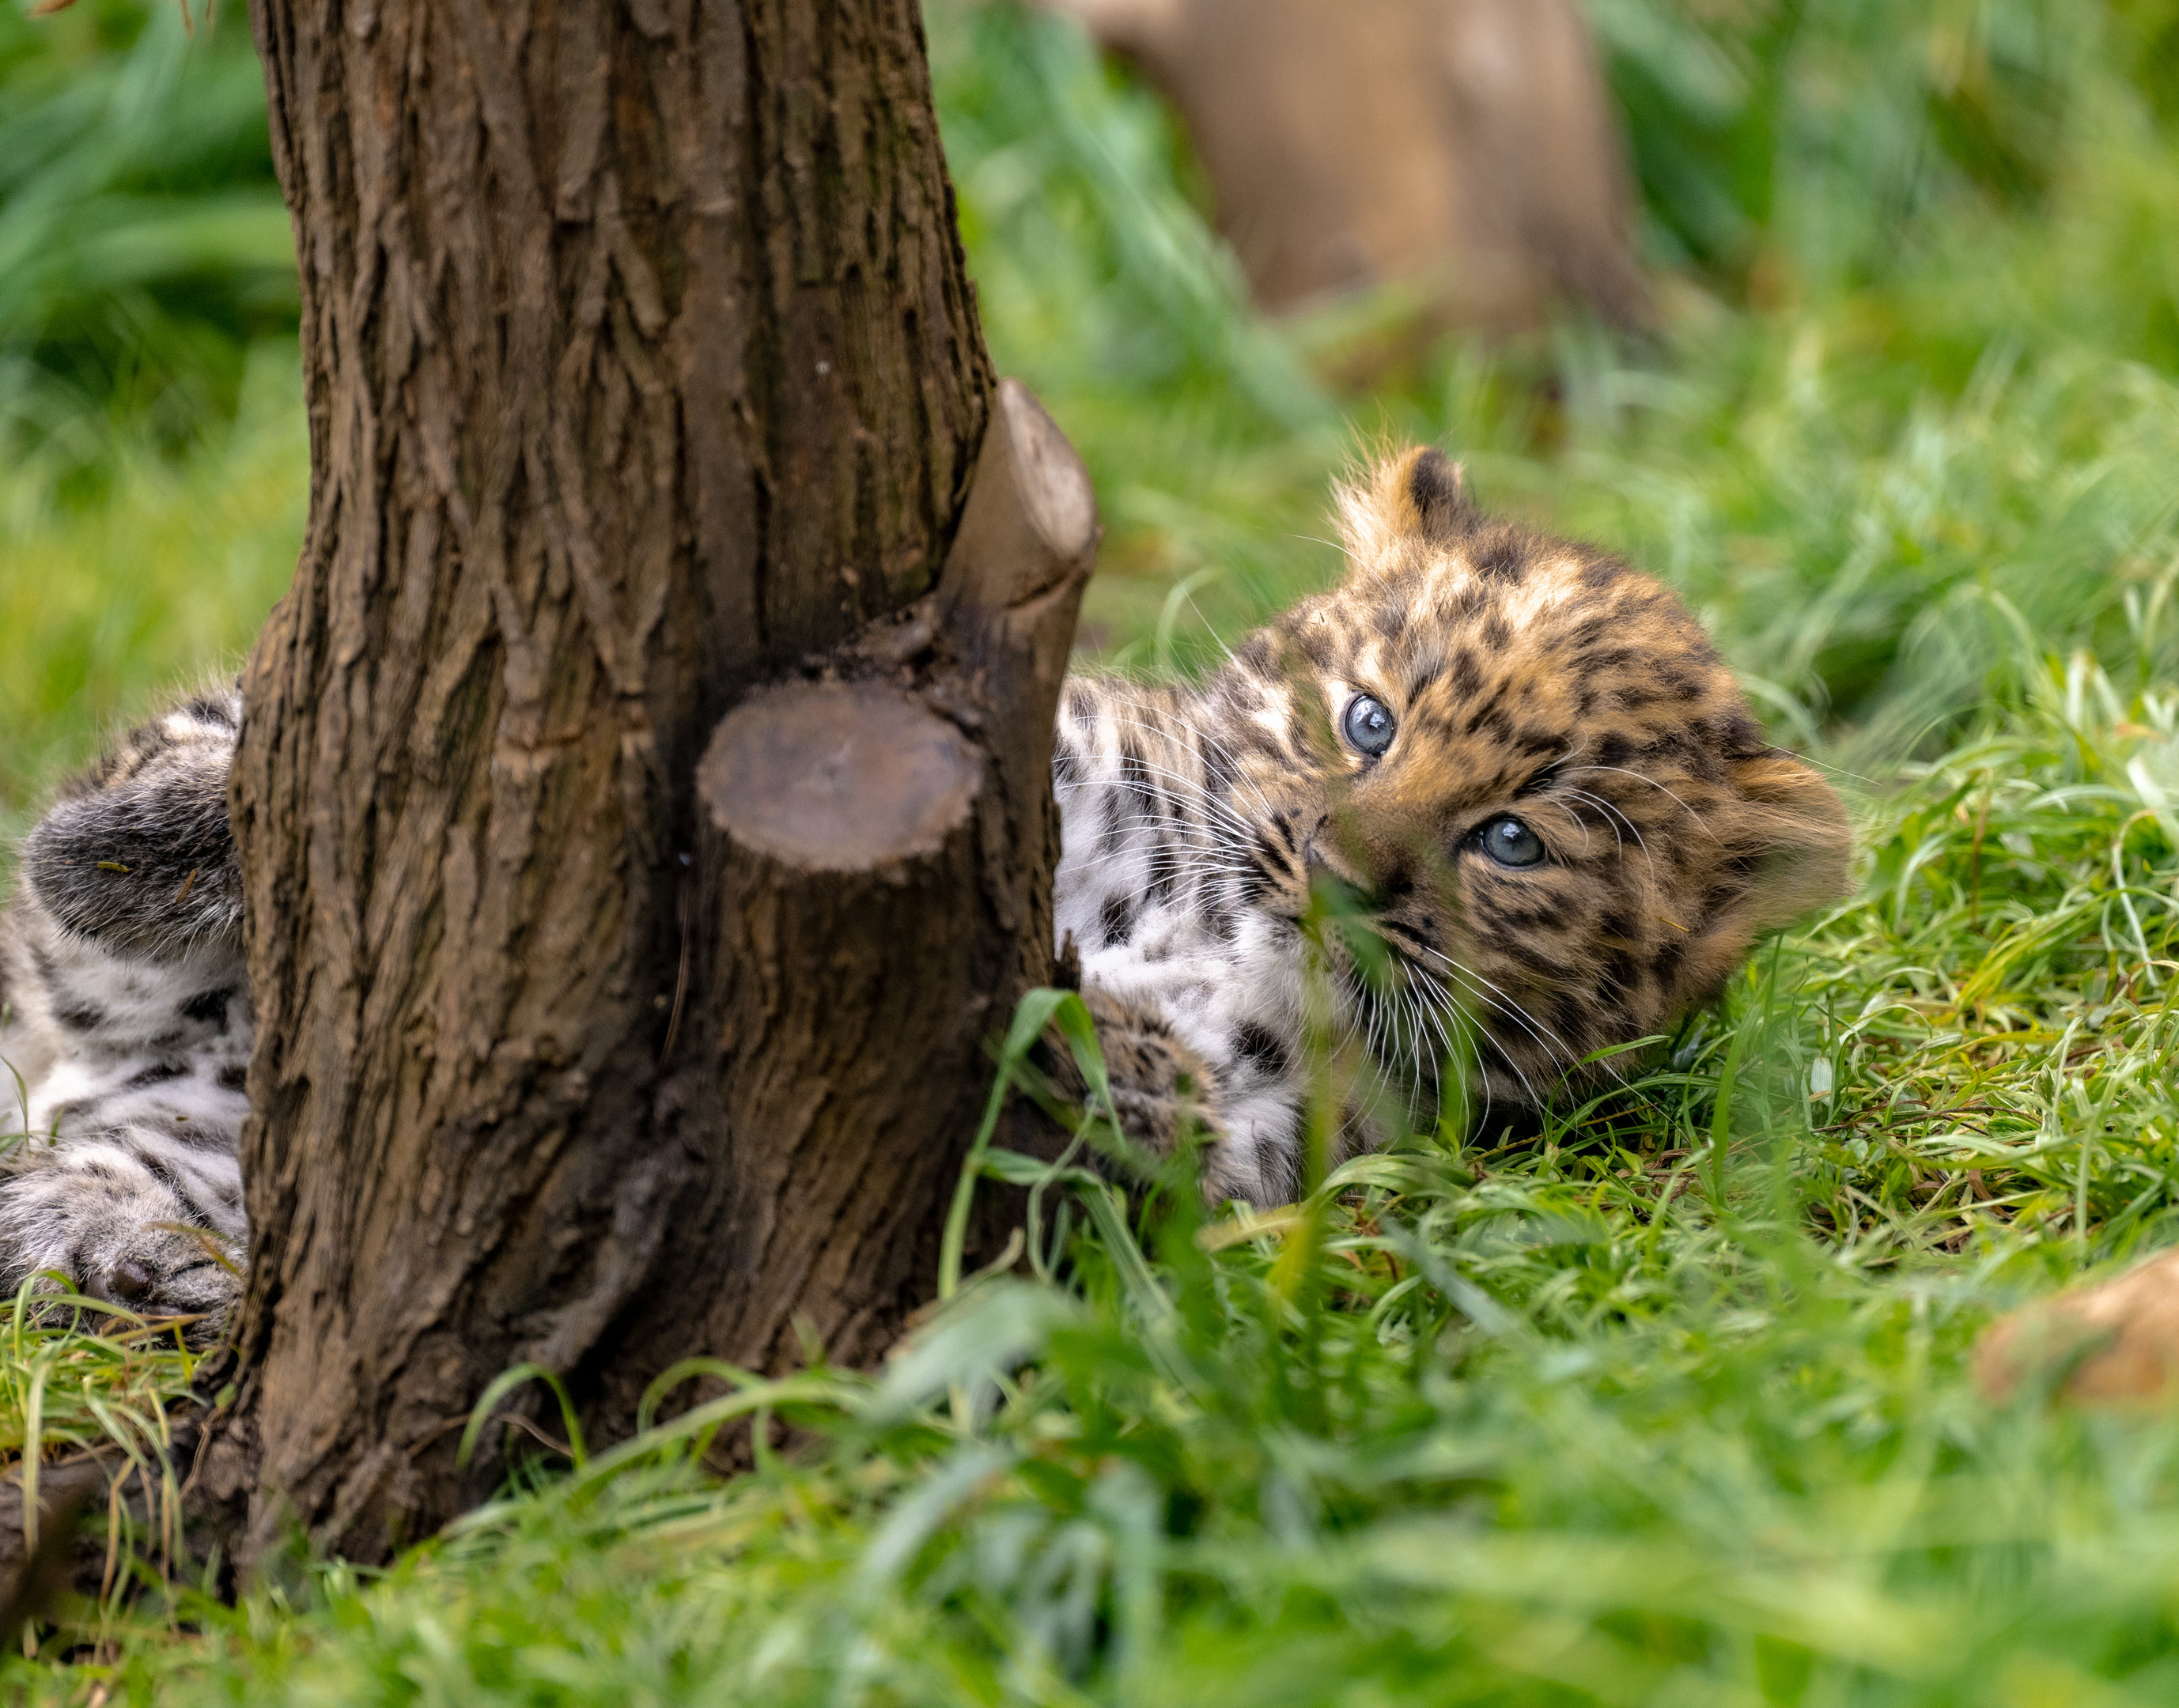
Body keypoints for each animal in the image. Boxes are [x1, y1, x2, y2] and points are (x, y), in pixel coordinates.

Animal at [0, 446, 1849, 1324]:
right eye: (1369, 718)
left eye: (1513, 841)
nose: (1340, 866)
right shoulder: (1040, 753)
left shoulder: (1309, 1140)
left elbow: (1187, 1105)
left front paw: (1089, 1021)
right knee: (123, 830)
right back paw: (147, 845)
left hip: (175, 1158)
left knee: (63, 1196)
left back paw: (139, 1245)